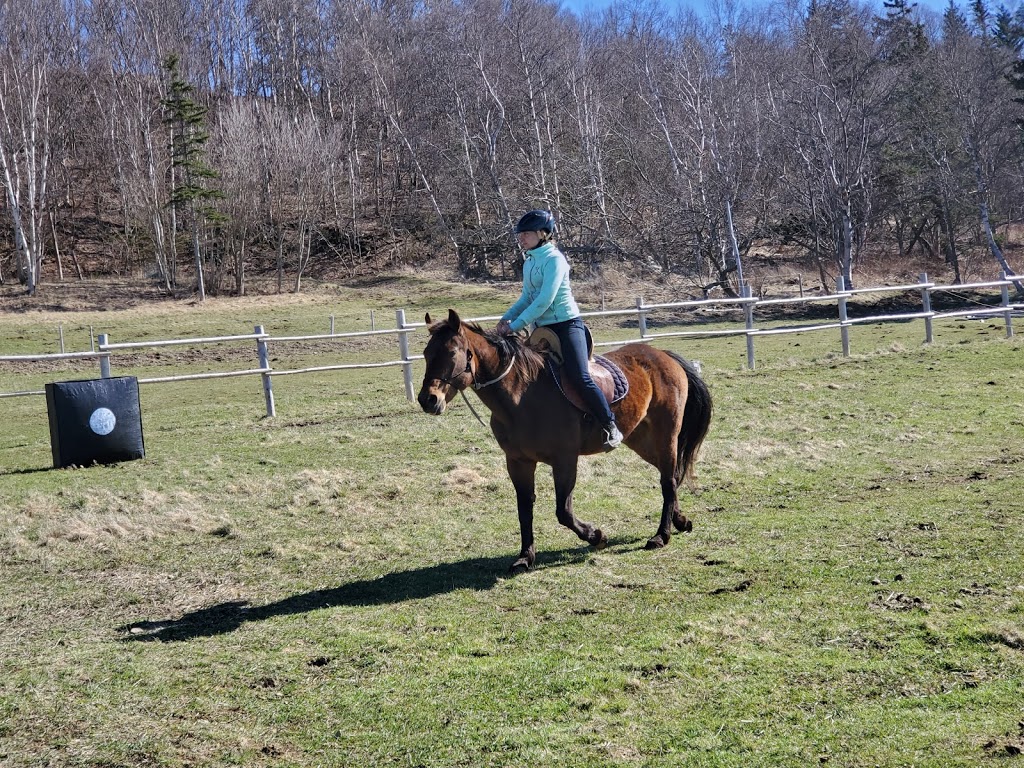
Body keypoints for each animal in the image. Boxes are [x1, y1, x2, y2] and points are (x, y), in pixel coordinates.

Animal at [415, 309, 712, 573]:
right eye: (427, 353)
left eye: (452, 353)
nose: (428, 400)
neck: (522, 396)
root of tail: (664, 356)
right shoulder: (518, 462)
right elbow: (525, 508)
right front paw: (525, 557)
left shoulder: (565, 460)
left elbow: (563, 511)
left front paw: (596, 536)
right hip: (641, 439)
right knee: (669, 475)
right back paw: (681, 520)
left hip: (666, 434)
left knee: (668, 480)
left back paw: (661, 535)